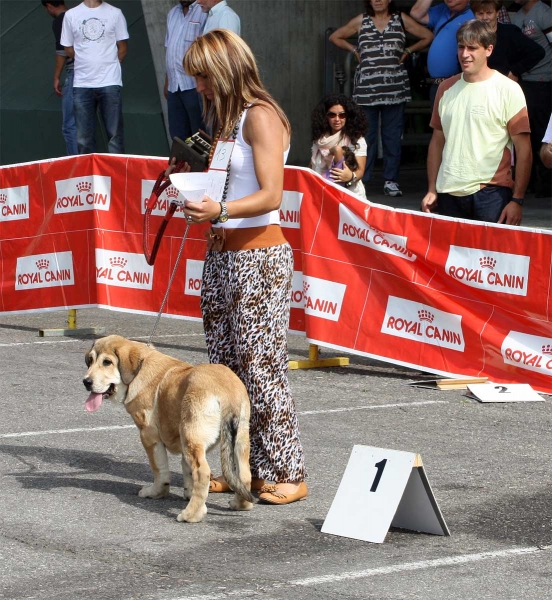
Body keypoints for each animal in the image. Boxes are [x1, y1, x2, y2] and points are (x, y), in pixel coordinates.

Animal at [82, 336, 254, 524]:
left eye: (107, 362)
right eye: (90, 360)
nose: (86, 382)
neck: (140, 369)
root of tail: (225, 391)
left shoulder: (149, 437)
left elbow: (160, 471)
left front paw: (156, 493)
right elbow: (186, 468)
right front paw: (189, 493)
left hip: (191, 435)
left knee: (202, 473)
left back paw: (191, 515)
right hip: (237, 440)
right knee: (244, 475)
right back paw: (240, 504)